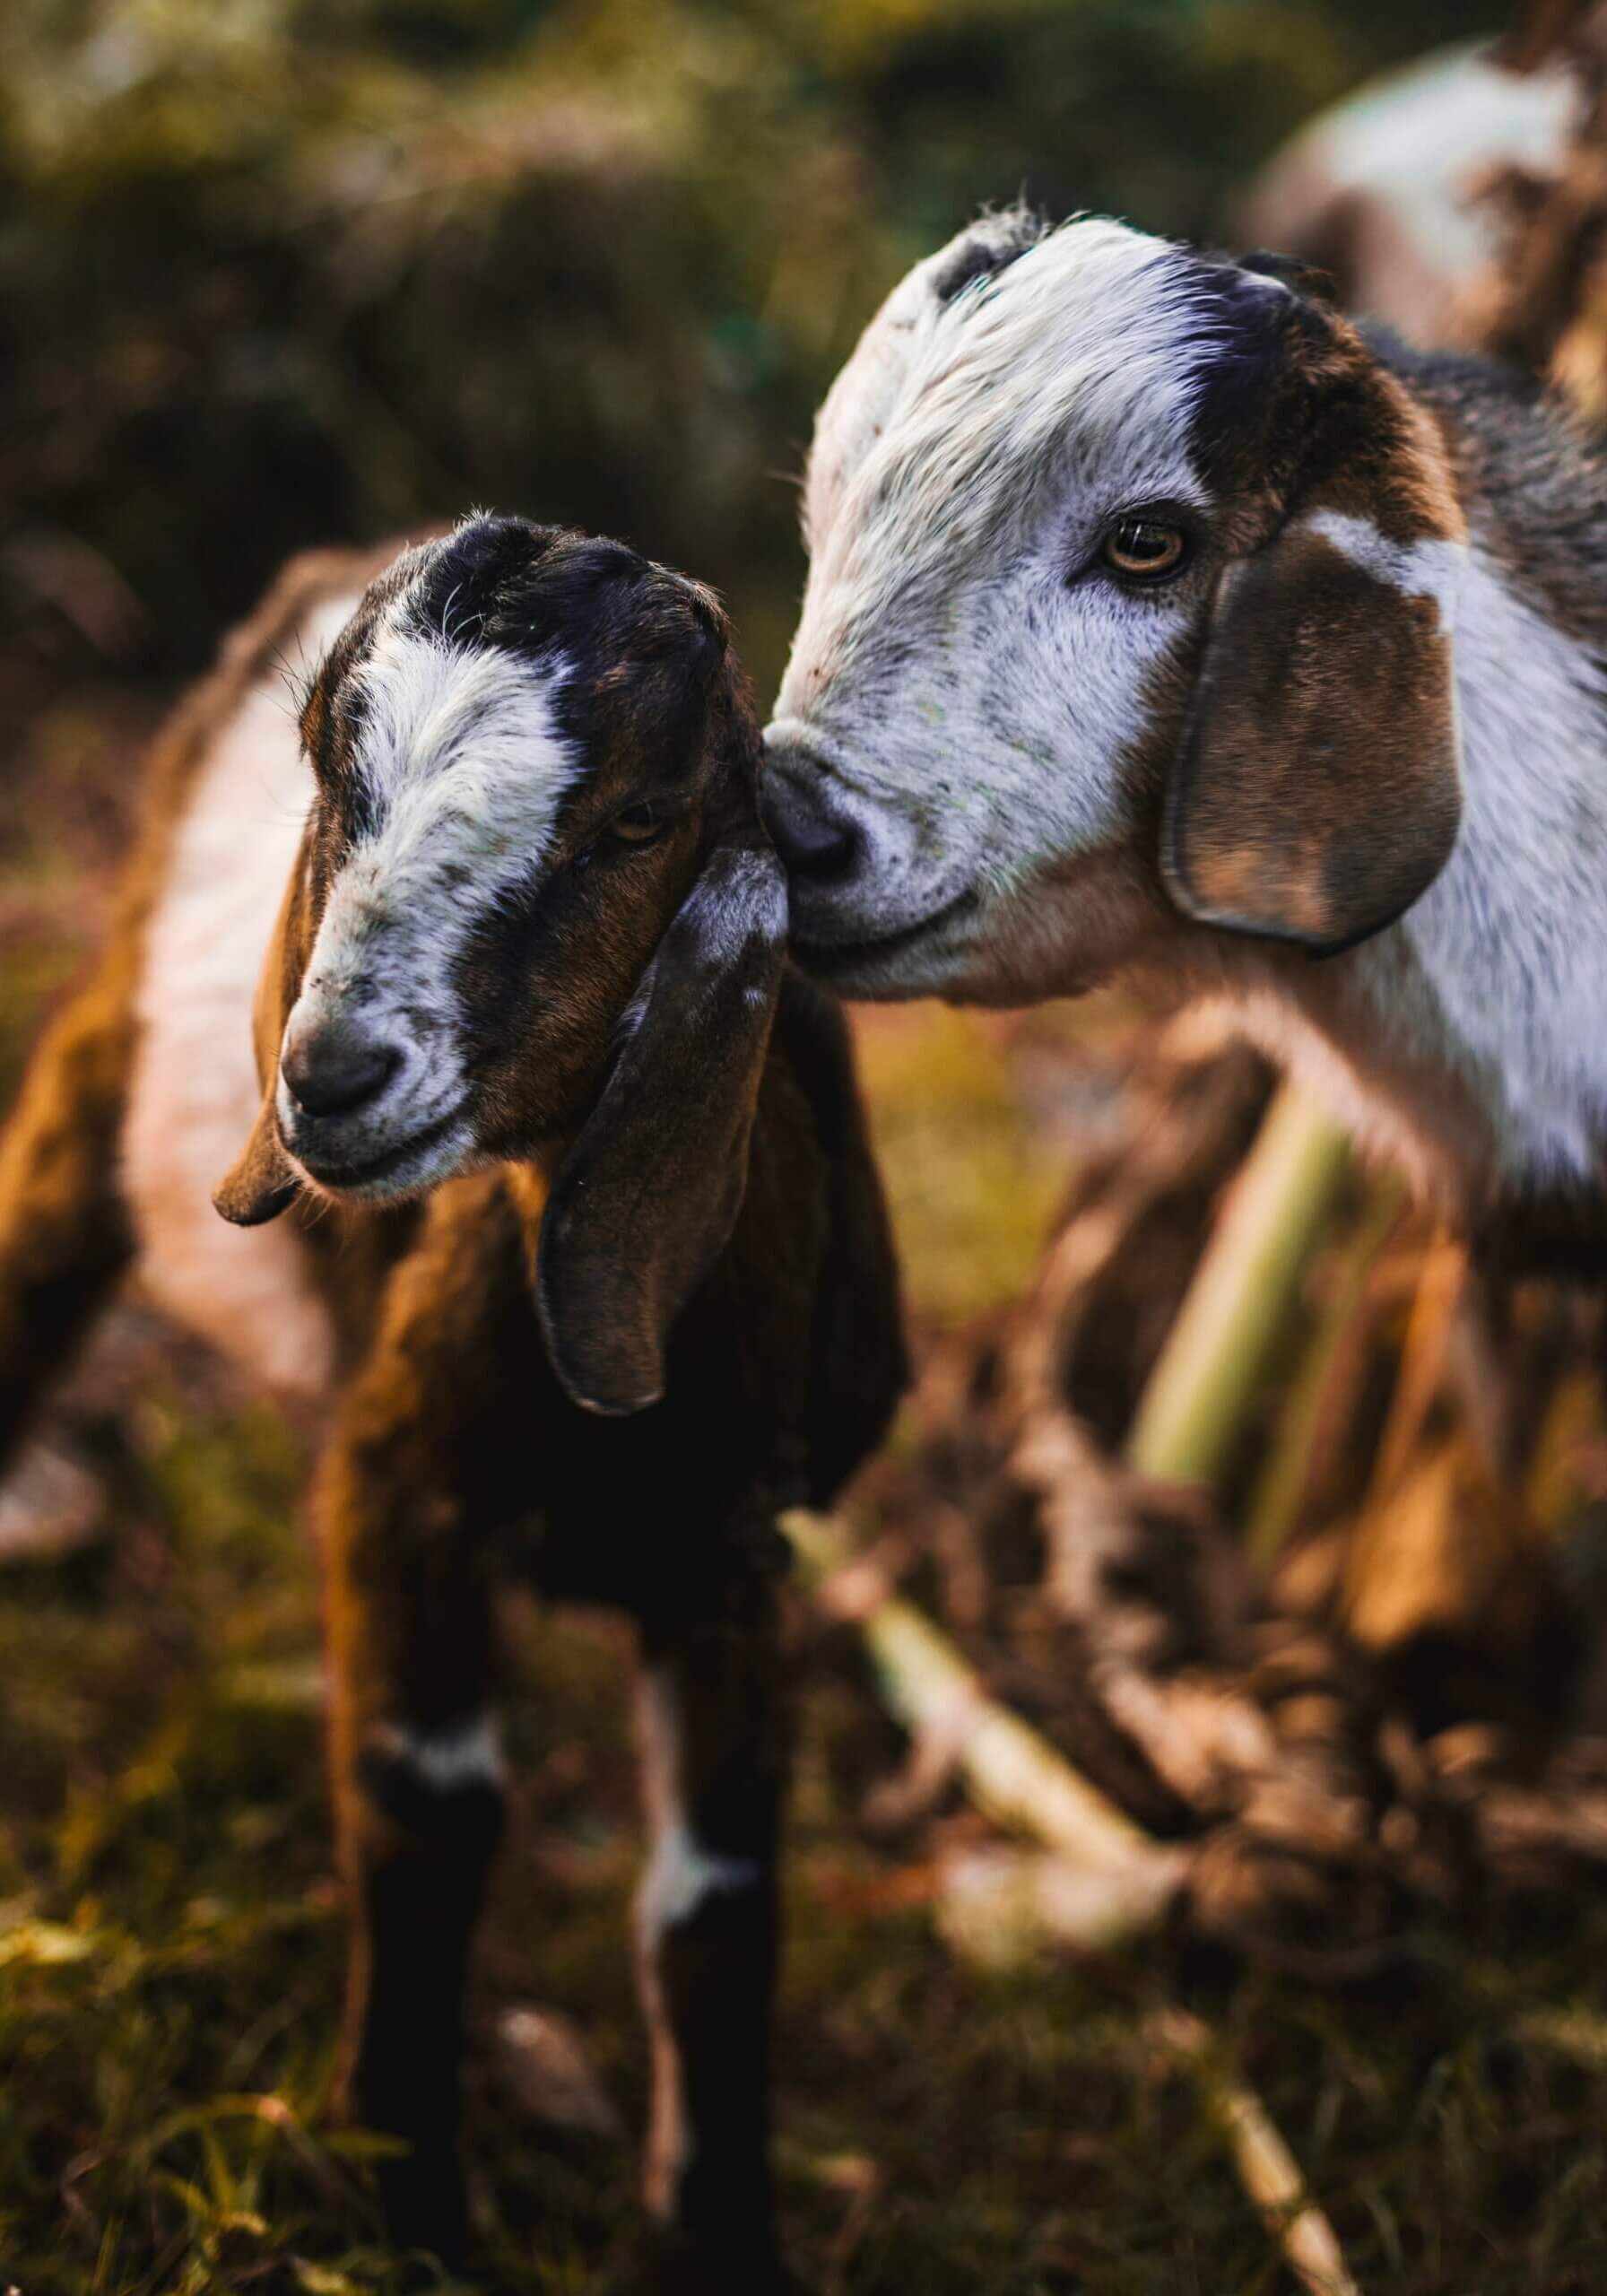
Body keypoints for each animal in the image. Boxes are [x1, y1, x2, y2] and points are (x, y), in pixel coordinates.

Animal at [0, 515, 906, 2282]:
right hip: (97, 1081)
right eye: (329, 775)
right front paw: (402, 2203)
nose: (331, 1077)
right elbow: (430, 1810)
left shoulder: (737, 1561)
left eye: (638, 818)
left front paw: (717, 2236)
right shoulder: (400, 1490)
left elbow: (716, 1900)